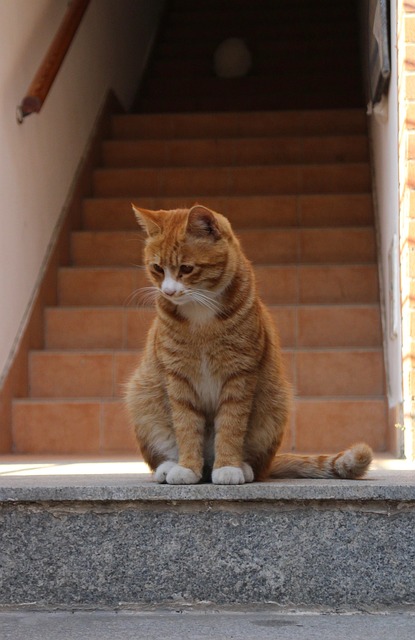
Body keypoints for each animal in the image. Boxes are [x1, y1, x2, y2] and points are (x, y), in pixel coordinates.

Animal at [126, 205, 374, 484]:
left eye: (187, 268)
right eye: (157, 268)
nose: (168, 292)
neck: (201, 313)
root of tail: (207, 464)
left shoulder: (240, 373)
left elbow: (231, 425)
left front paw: (228, 467)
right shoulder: (178, 376)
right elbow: (186, 425)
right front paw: (187, 467)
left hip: (276, 404)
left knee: (258, 466)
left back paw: (241, 467)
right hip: (143, 397)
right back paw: (170, 467)